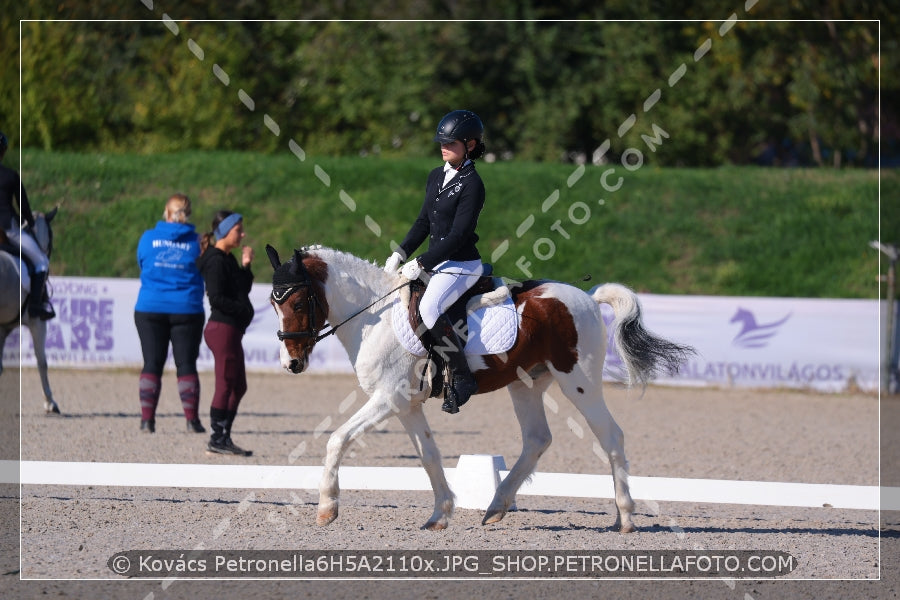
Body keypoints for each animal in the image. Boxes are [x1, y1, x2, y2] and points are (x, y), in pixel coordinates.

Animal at [266, 246, 688, 532]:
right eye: (273, 304)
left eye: (299, 302)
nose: (292, 364)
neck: (375, 315)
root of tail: (586, 297)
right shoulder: (406, 404)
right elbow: (429, 456)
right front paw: (440, 515)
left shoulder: (388, 398)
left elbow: (337, 439)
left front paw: (327, 508)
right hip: (526, 385)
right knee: (537, 439)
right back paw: (497, 506)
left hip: (579, 381)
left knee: (610, 436)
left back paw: (625, 517)